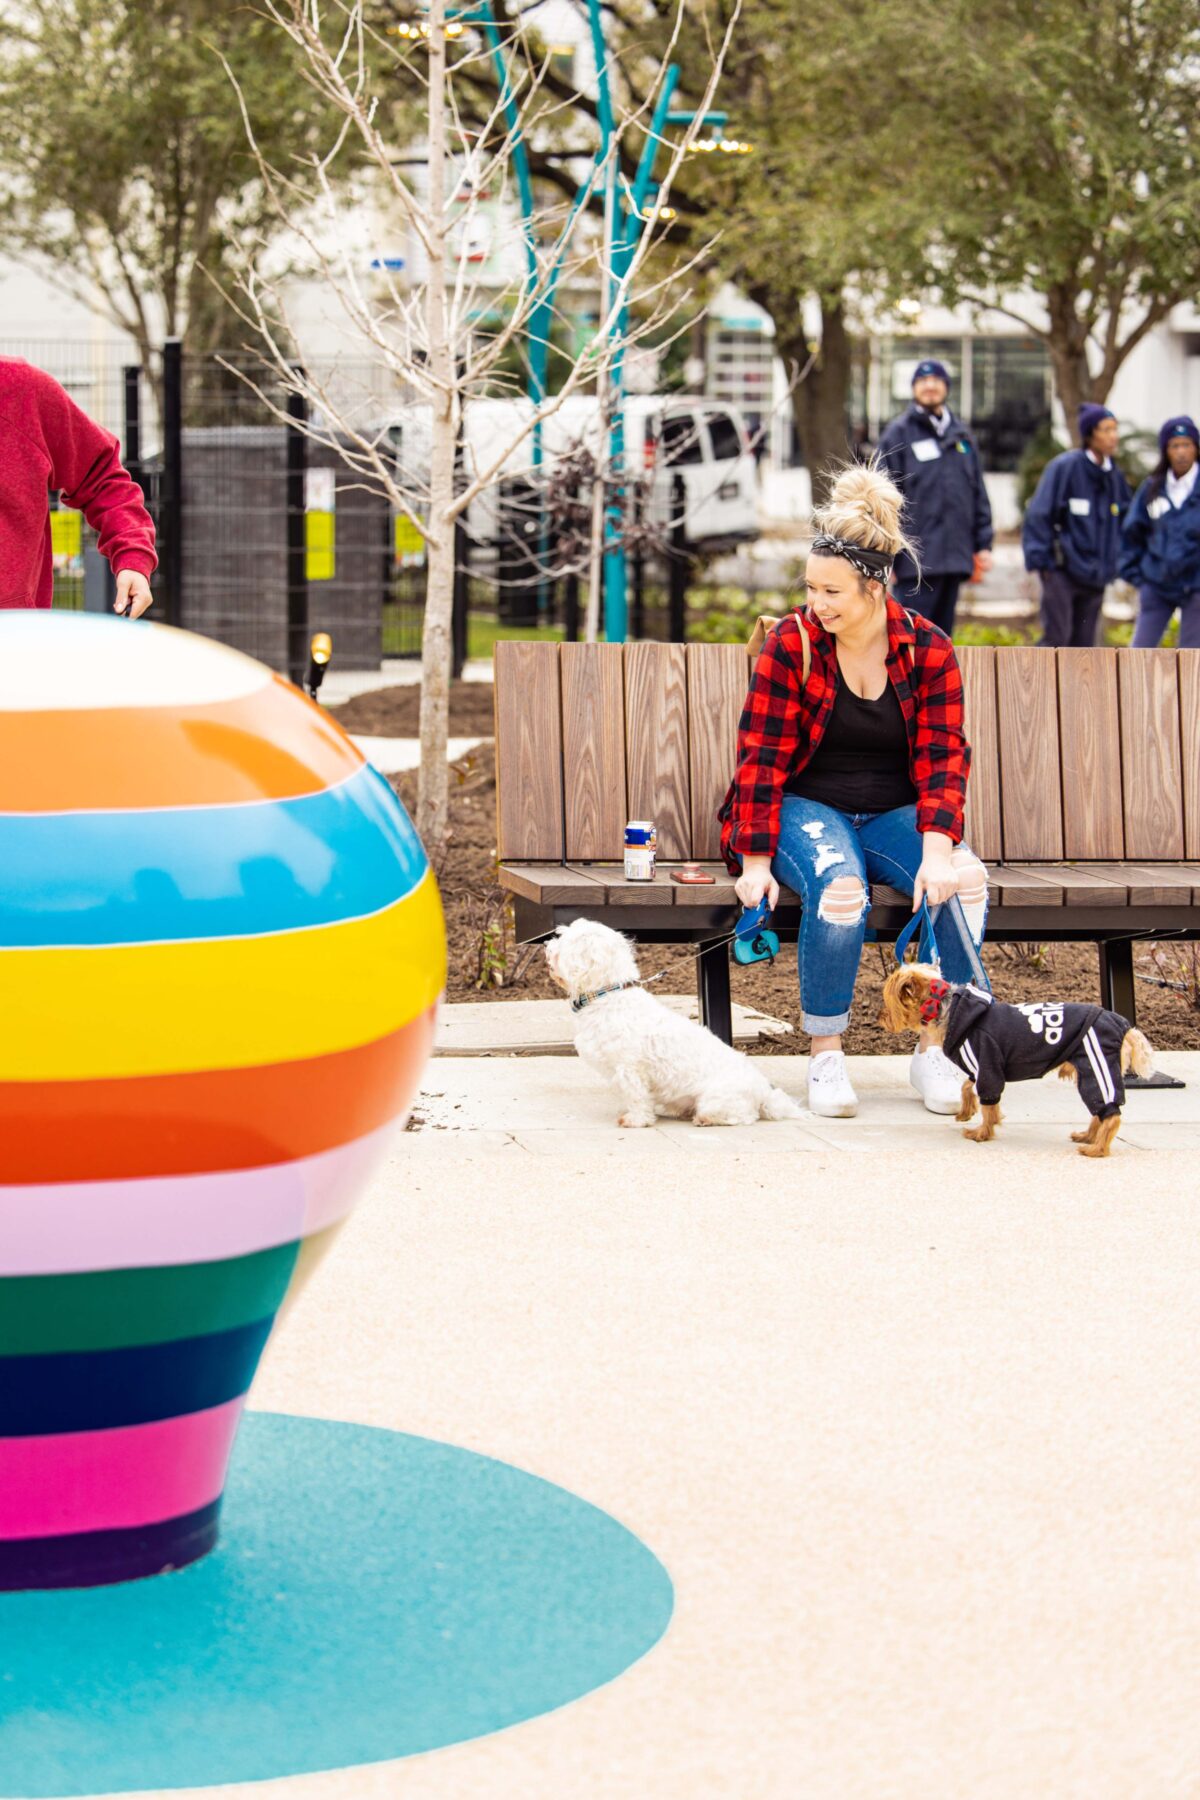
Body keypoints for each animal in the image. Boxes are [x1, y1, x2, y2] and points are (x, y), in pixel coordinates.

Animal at [550, 914, 802, 1123]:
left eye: (563, 939)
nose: (547, 944)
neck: (609, 994)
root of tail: (764, 1093)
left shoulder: (630, 1069)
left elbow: (636, 1096)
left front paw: (636, 1120)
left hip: (716, 1100)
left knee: (743, 1116)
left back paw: (704, 1119)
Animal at [881, 964, 1151, 1159]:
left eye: (888, 1004)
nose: (881, 1018)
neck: (949, 1009)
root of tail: (1124, 1025)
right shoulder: (978, 1068)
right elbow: (967, 1087)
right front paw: (966, 1112)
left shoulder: (988, 1064)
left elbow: (988, 1104)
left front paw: (981, 1133)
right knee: (1099, 1110)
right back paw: (1087, 1136)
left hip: (1096, 1064)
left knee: (1109, 1113)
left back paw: (1096, 1149)